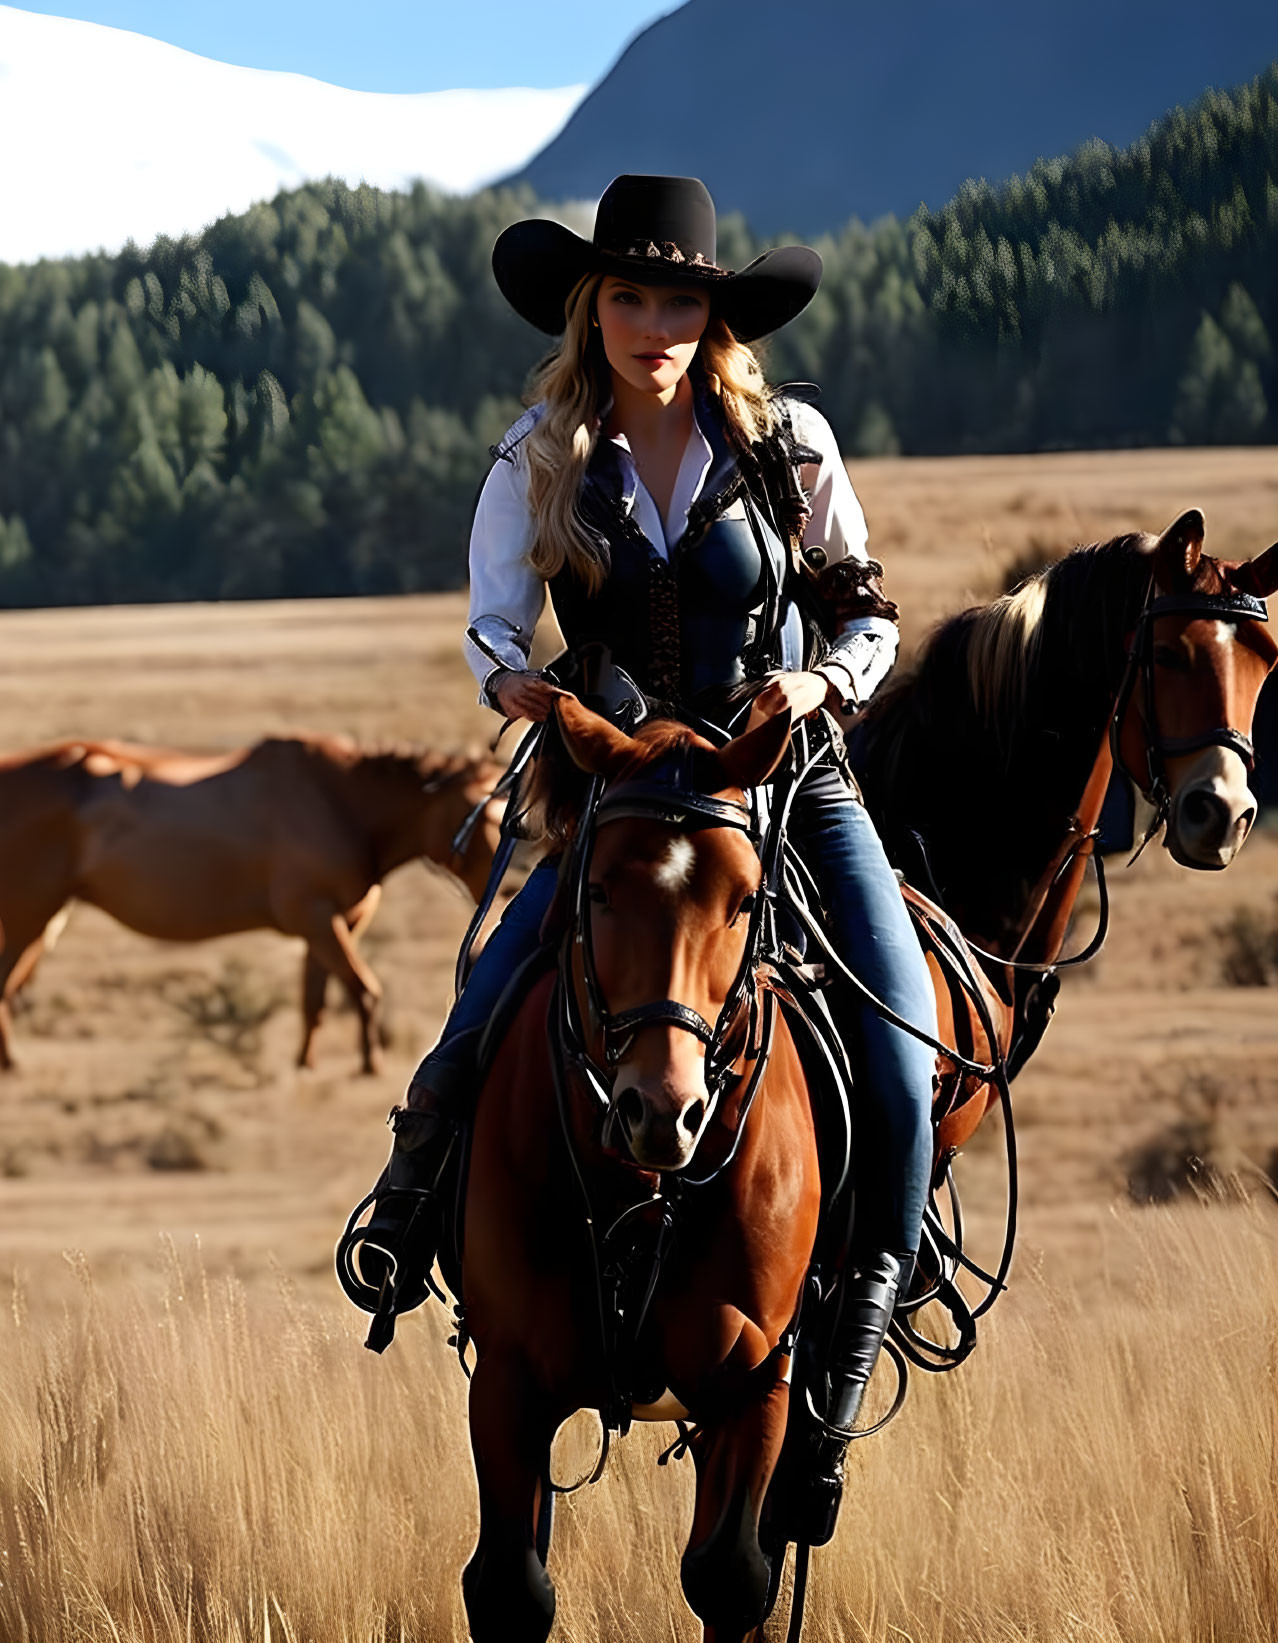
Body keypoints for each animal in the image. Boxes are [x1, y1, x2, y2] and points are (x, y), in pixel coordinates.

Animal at [0, 729, 502, 1064]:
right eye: (474, 814)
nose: (506, 884)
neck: (340, 803)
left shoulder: (330, 926)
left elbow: (315, 1000)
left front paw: (305, 1065)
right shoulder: (316, 918)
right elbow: (364, 991)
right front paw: (369, 1066)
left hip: (44, 920)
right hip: (29, 917)